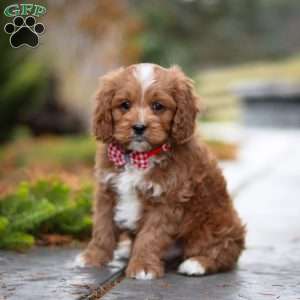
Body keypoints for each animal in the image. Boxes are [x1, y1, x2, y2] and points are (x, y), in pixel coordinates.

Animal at [76, 62, 245, 278]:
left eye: (158, 106)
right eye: (125, 105)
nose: (139, 127)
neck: (138, 157)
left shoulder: (166, 200)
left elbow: (150, 236)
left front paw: (143, 267)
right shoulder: (107, 191)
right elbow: (102, 228)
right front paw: (92, 257)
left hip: (214, 225)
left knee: (224, 251)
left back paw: (196, 263)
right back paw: (126, 249)